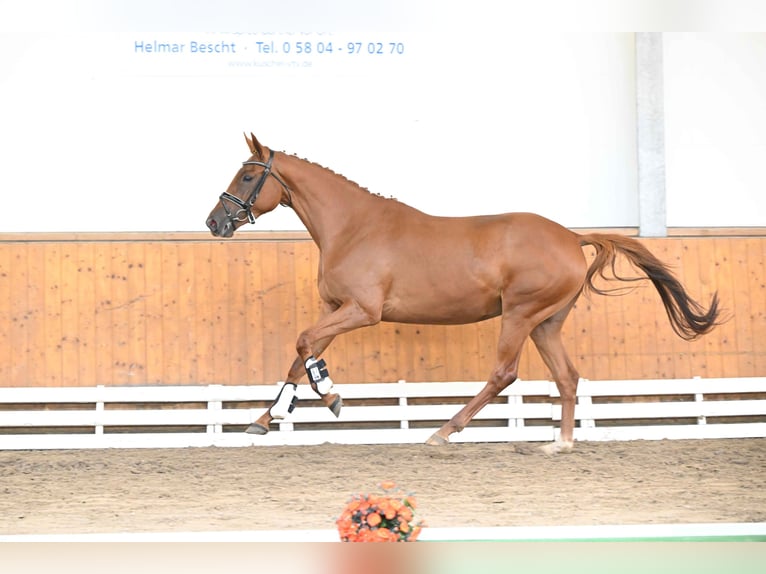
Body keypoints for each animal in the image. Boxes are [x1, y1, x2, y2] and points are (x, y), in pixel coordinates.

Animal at [207, 134, 724, 454]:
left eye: (248, 177)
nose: (215, 223)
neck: (353, 227)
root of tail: (571, 237)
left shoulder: (362, 311)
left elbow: (303, 344)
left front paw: (328, 396)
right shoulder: (335, 308)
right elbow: (303, 352)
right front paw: (268, 416)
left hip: (519, 316)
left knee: (504, 374)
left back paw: (443, 432)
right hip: (546, 324)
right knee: (567, 377)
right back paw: (559, 443)